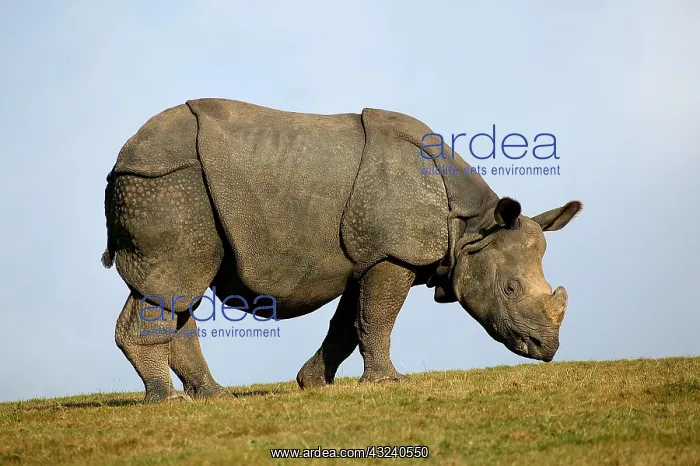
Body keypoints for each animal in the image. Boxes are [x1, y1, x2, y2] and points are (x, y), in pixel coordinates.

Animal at [102, 98, 582, 403]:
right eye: (511, 289)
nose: (547, 349)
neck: (470, 228)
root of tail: (123, 156)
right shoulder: (394, 252)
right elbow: (379, 317)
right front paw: (389, 383)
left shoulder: (370, 255)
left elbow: (351, 323)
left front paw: (313, 384)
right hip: (170, 183)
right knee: (174, 281)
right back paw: (169, 403)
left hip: (171, 183)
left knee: (181, 291)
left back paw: (216, 398)